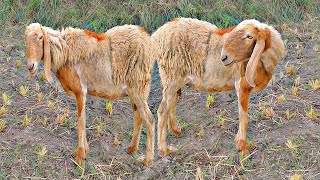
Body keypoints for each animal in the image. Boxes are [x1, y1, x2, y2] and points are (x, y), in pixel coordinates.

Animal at [24, 22, 155, 166]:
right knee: (138, 117)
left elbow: (81, 120)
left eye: (41, 37)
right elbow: (83, 119)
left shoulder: (80, 90)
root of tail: (146, 37)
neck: (64, 51)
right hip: (134, 92)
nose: (31, 66)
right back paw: (132, 148)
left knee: (149, 119)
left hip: (139, 88)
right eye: (26, 38)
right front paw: (84, 149)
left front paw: (80, 155)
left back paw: (148, 159)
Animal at [152, 17, 284, 157]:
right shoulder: (242, 85)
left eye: (250, 36)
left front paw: (239, 142)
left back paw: (176, 131)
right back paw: (164, 149)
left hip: (174, 79)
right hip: (171, 76)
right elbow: (244, 117)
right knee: (162, 110)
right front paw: (243, 147)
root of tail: (157, 34)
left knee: (171, 103)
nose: (224, 57)